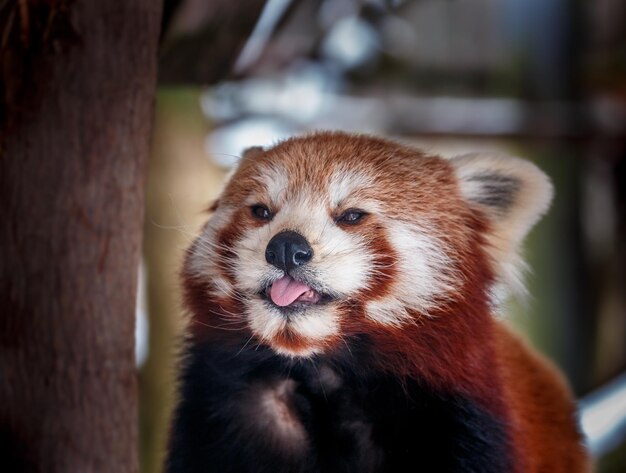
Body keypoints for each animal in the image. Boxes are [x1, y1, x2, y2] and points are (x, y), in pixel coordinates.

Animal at [166, 131, 588, 470]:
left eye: (351, 216)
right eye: (261, 211)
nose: (285, 247)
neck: (319, 369)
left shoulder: (457, 419)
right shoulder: (222, 419)